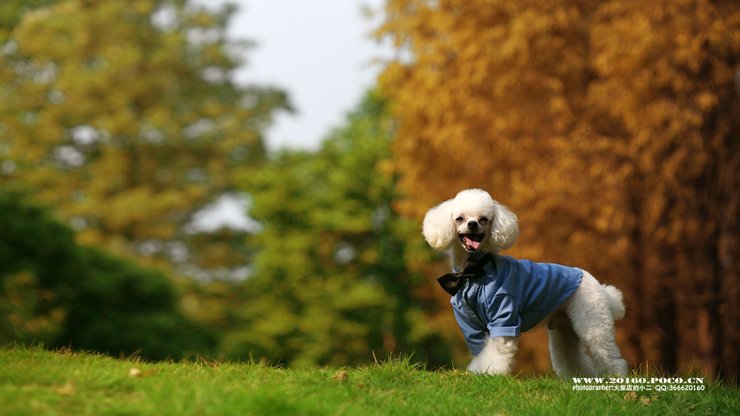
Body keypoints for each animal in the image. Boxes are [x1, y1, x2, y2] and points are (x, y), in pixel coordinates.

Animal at [424, 188, 628, 376]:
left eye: (484, 219)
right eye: (460, 218)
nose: (472, 224)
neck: (473, 272)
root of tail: (600, 287)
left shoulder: (503, 316)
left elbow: (498, 351)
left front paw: (492, 374)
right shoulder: (469, 324)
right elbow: (479, 349)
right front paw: (478, 373)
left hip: (593, 322)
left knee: (609, 355)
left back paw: (614, 377)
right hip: (564, 328)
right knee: (572, 357)